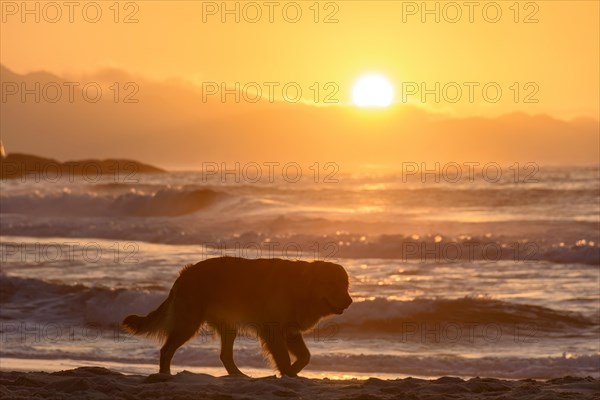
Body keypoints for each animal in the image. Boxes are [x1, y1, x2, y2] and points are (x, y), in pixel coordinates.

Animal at [123, 258, 354, 376]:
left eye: (345, 285)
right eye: (332, 283)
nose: (350, 301)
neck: (301, 287)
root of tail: (185, 273)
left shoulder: (289, 331)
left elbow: (306, 356)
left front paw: (292, 372)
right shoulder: (273, 330)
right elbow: (284, 358)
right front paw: (288, 373)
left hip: (227, 327)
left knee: (225, 356)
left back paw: (239, 375)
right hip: (189, 323)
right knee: (166, 350)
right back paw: (165, 375)